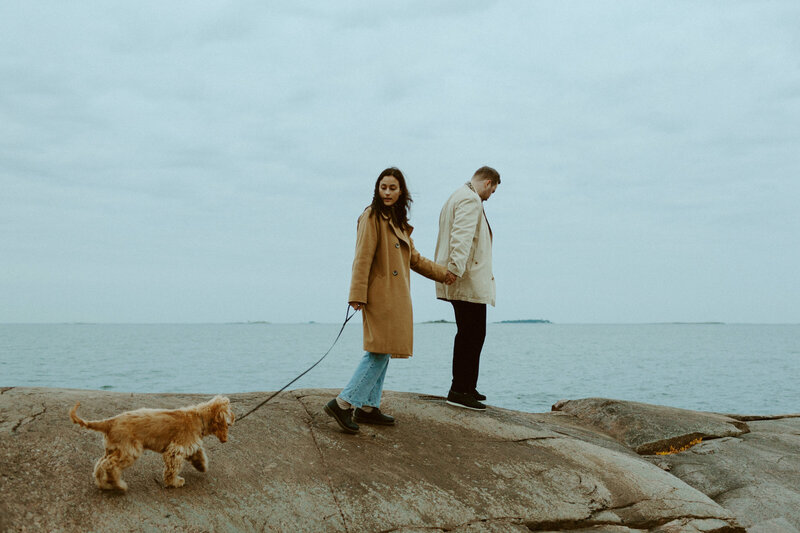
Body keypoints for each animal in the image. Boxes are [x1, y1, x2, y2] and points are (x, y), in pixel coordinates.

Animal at [69, 394, 234, 490]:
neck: (199, 416)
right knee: (109, 465)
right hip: (130, 451)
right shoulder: (176, 449)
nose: (234, 418)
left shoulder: (189, 445)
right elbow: (172, 468)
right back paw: (118, 485)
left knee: (100, 464)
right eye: (229, 410)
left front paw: (202, 466)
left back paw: (103, 483)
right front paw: (174, 482)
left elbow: (198, 454)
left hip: (113, 449)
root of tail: (110, 421)